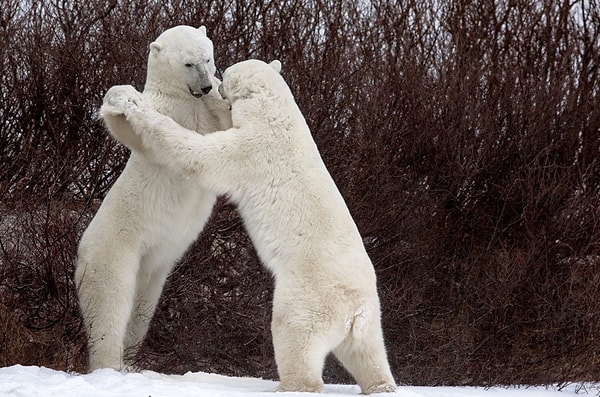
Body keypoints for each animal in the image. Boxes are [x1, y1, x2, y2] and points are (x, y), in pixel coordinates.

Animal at [74, 24, 232, 372]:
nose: (204, 86)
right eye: (187, 63)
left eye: (207, 58)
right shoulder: (166, 110)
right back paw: (110, 363)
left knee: (141, 310)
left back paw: (132, 359)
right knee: (110, 305)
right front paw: (123, 98)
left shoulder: (203, 113)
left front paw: (222, 92)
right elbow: (133, 129)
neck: (183, 98)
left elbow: (228, 127)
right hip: (114, 252)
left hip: (154, 270)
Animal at [101, 59, 396, 392]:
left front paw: (136, 107)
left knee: (294, 334)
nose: (215, 84)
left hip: (307, 297)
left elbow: (200, 155)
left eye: (227, 73)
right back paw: (381, 385)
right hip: (371, 319)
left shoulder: (252, 150)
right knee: (369, 354)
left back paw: (289, 385)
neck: (277, 116)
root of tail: (354, 311)